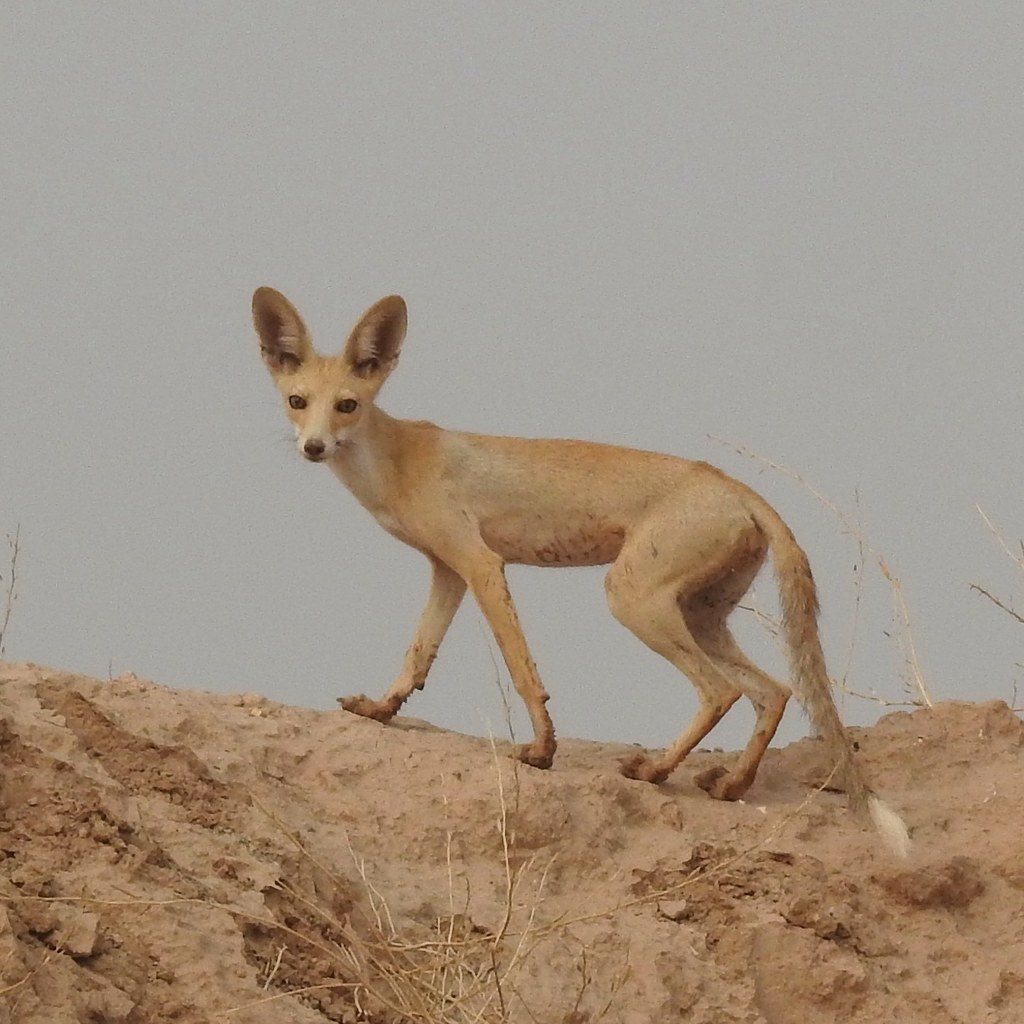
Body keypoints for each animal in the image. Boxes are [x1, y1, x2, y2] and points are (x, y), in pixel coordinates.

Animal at [251, 288, 909, 856]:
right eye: (297, 401)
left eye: (347, 405)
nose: (313, 448)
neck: (395, 463)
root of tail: (736, 486)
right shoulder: (448, 570)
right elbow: (416, 657)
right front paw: (380, 712)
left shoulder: (481, 564)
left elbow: (522, 671)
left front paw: (542, 750)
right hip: (700, 616)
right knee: (775, 692)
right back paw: (731, 785)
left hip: (632, 600)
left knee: (721, 691)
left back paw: (657, 769)